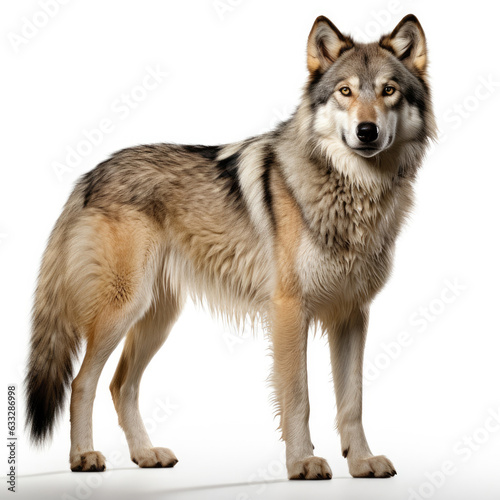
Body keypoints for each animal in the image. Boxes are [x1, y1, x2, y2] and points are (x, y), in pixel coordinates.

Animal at [25, 13, 436, 478]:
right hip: (122, 308)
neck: (352, 191)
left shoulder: (352, 315)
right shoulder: (289, 309)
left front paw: (363, 461)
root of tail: (88, 175)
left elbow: (353, 402)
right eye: (345, 91)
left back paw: (146, 454)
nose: (367, 131)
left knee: (120, 384)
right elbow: (299, 396)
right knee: (83, 382)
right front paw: (302, 462)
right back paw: (83, 457)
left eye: (389, 90)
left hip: (156, 318)